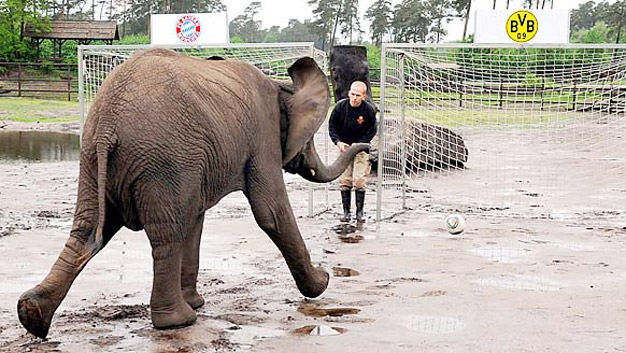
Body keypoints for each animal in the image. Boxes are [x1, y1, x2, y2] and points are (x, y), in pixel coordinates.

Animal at [15, 48, 366, 336]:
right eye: (307, 140)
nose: (364, 146)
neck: (282, 86)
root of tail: (106, 127)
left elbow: (196, 218)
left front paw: (197, 301)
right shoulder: (261, 137)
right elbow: (270, 211)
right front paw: (322, 283)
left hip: (93, 158)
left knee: (87, 230)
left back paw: (32, 315)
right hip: (162, 161)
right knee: (166, 235)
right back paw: (178, 321)